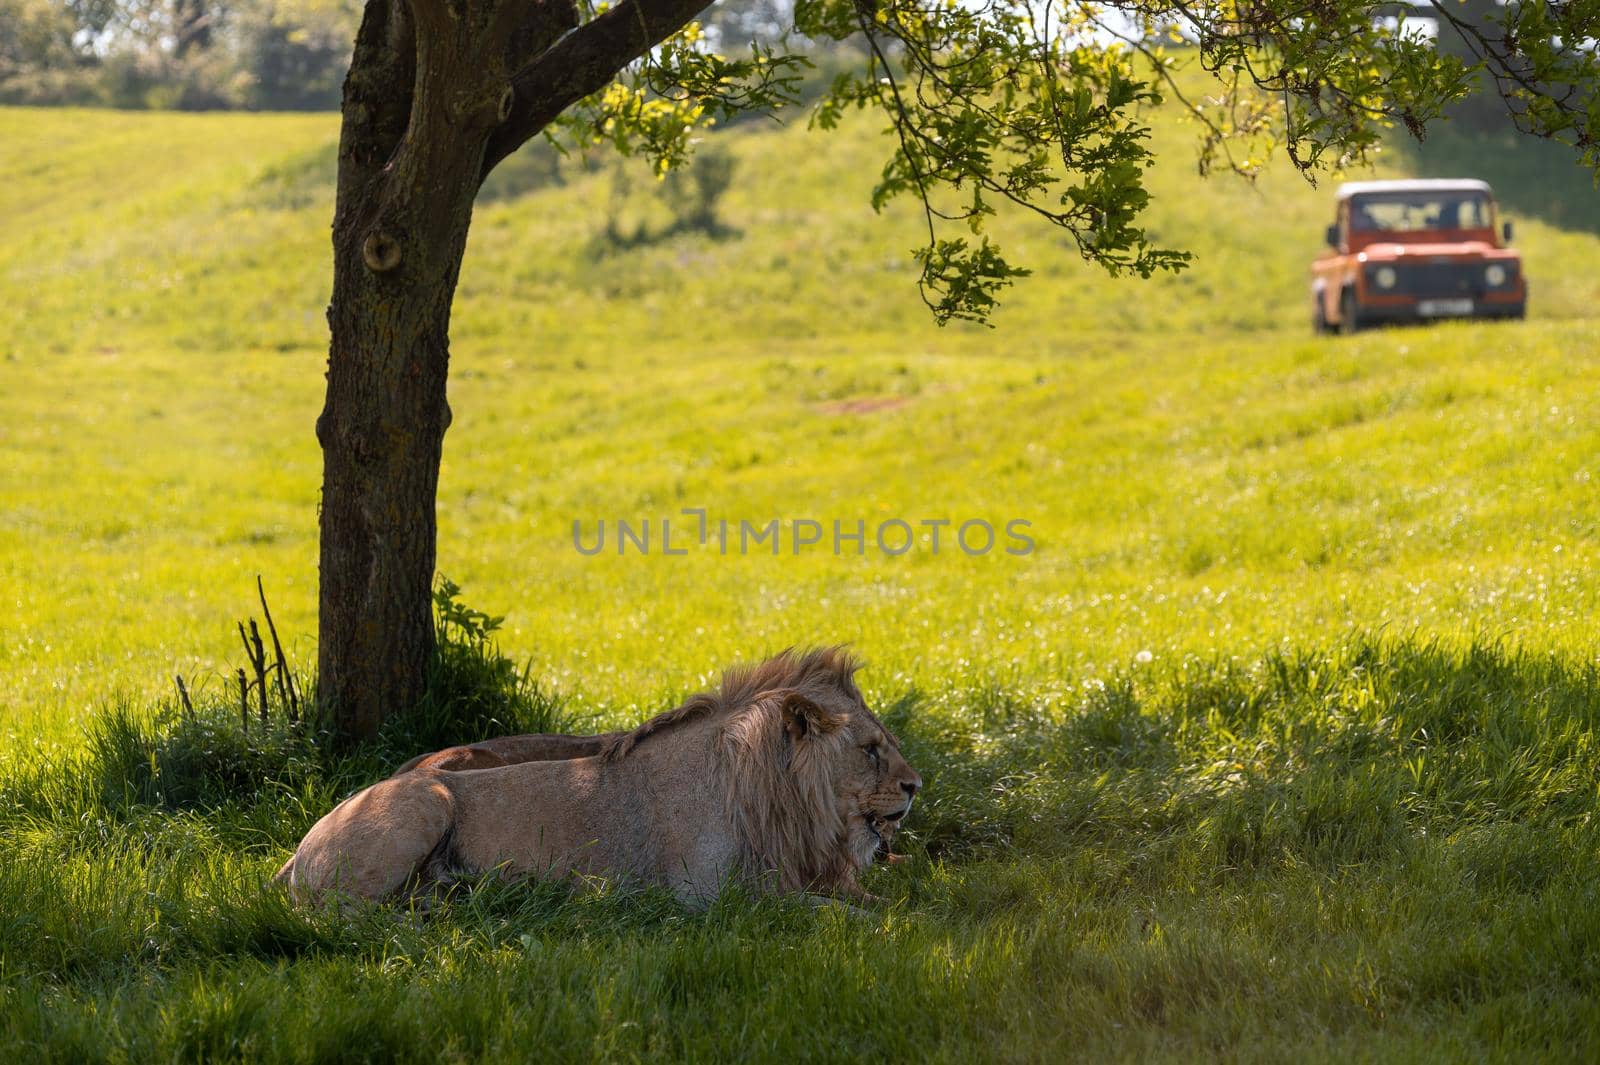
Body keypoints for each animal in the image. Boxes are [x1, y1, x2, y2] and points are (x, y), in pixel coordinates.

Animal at [280, 642, 921, 908]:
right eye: (870, 750)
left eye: (886, 744)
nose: (916, 787)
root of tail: (298, 846)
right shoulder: (710, 900)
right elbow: (834, 915)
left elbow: (886, 900)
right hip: (426, 798)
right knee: (340, 917)